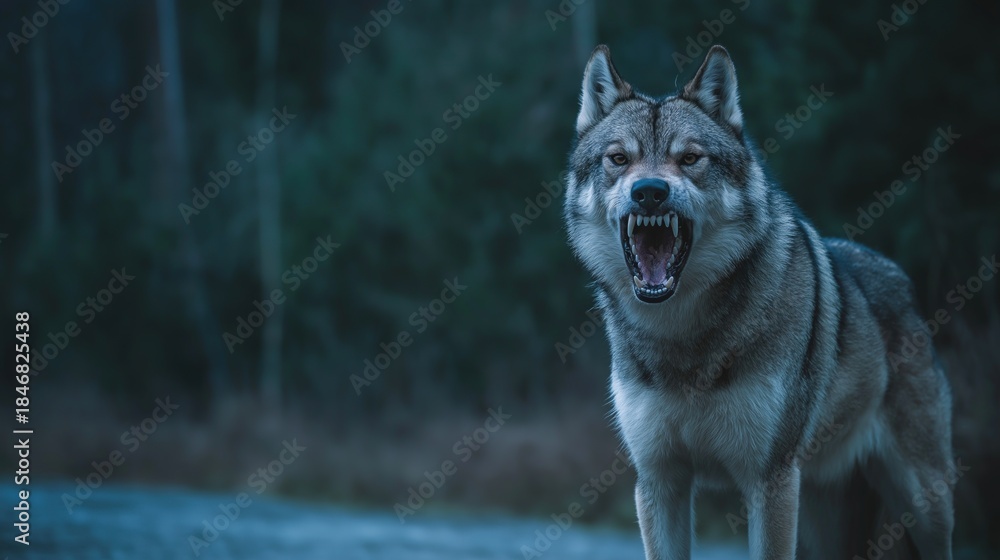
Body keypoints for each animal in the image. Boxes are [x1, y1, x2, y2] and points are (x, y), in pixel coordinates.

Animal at [563, 44, 954, 560]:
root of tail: (903, 283)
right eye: (618, 159)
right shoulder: (660, 481)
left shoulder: (770, 481)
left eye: (690, 158)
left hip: (922, 504)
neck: (681, 334)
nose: (649, 191)